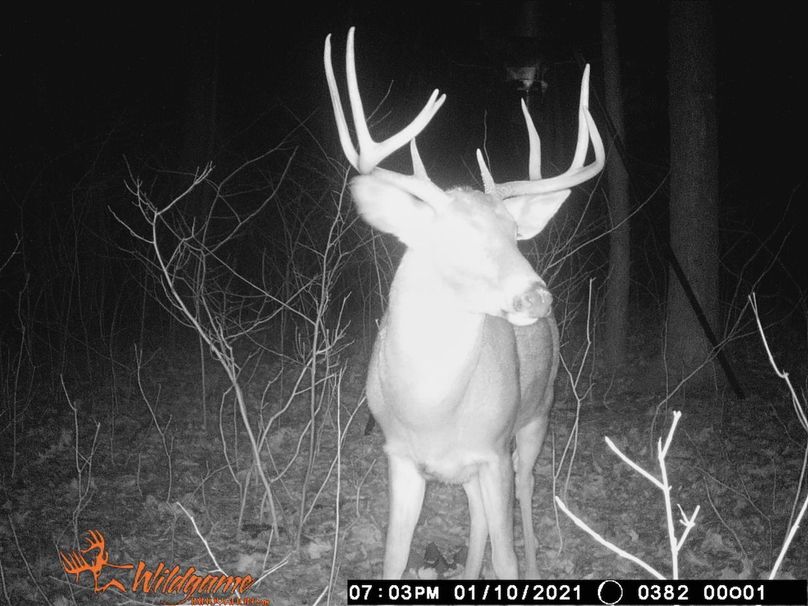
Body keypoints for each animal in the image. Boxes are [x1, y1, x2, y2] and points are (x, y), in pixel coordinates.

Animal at [324, 28, 604, 579]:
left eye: (514, 234)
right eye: (450, 237)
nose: (536, 296)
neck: (432, 413)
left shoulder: (493, 451)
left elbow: (507, 556)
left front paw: (518, 569)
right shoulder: (400, 456)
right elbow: (395, 555)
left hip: (537, 413)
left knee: (527, 491)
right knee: (477, 518)